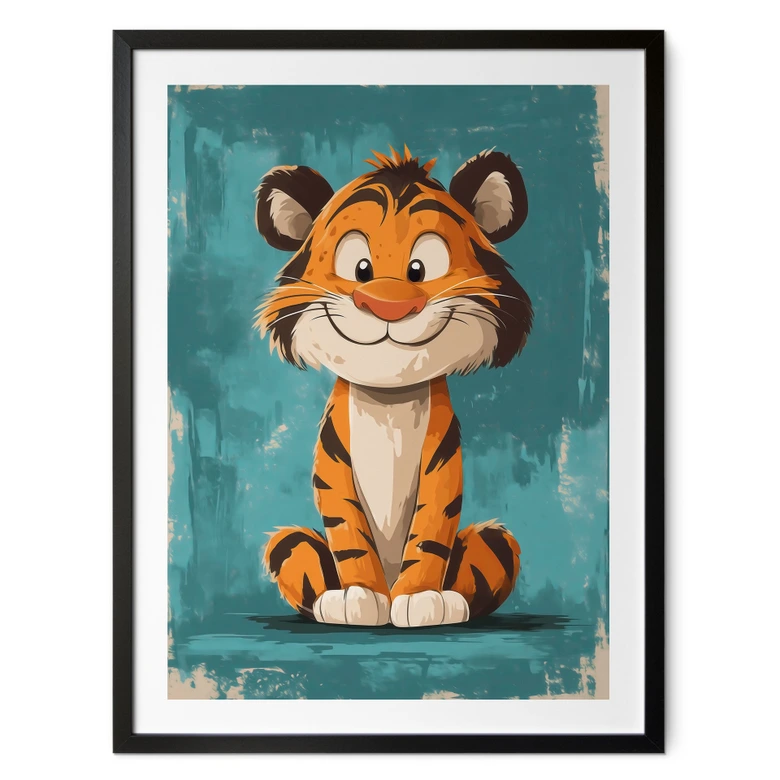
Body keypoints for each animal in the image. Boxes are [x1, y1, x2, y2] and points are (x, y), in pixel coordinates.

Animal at [254, 146, 533, 627]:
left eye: (420, 268)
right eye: (360, 267)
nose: (387, 306)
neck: (389, 400)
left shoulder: (442, 466)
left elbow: (430, 534)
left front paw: (421, 599)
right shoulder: (334, 468)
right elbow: (349, 535)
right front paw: (359, 597)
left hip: (497, 541)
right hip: (287, 542)